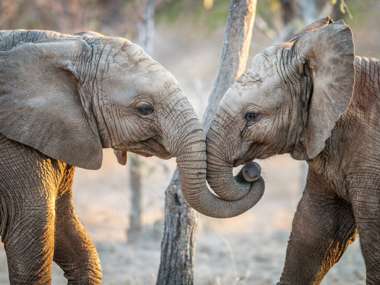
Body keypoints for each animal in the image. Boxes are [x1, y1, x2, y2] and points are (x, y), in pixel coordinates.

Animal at [0, 30, 264, 282]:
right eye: (145, 109)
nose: (250, 170)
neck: (59, 42)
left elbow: (68, 230)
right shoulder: (15, 150)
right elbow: (34, 236)